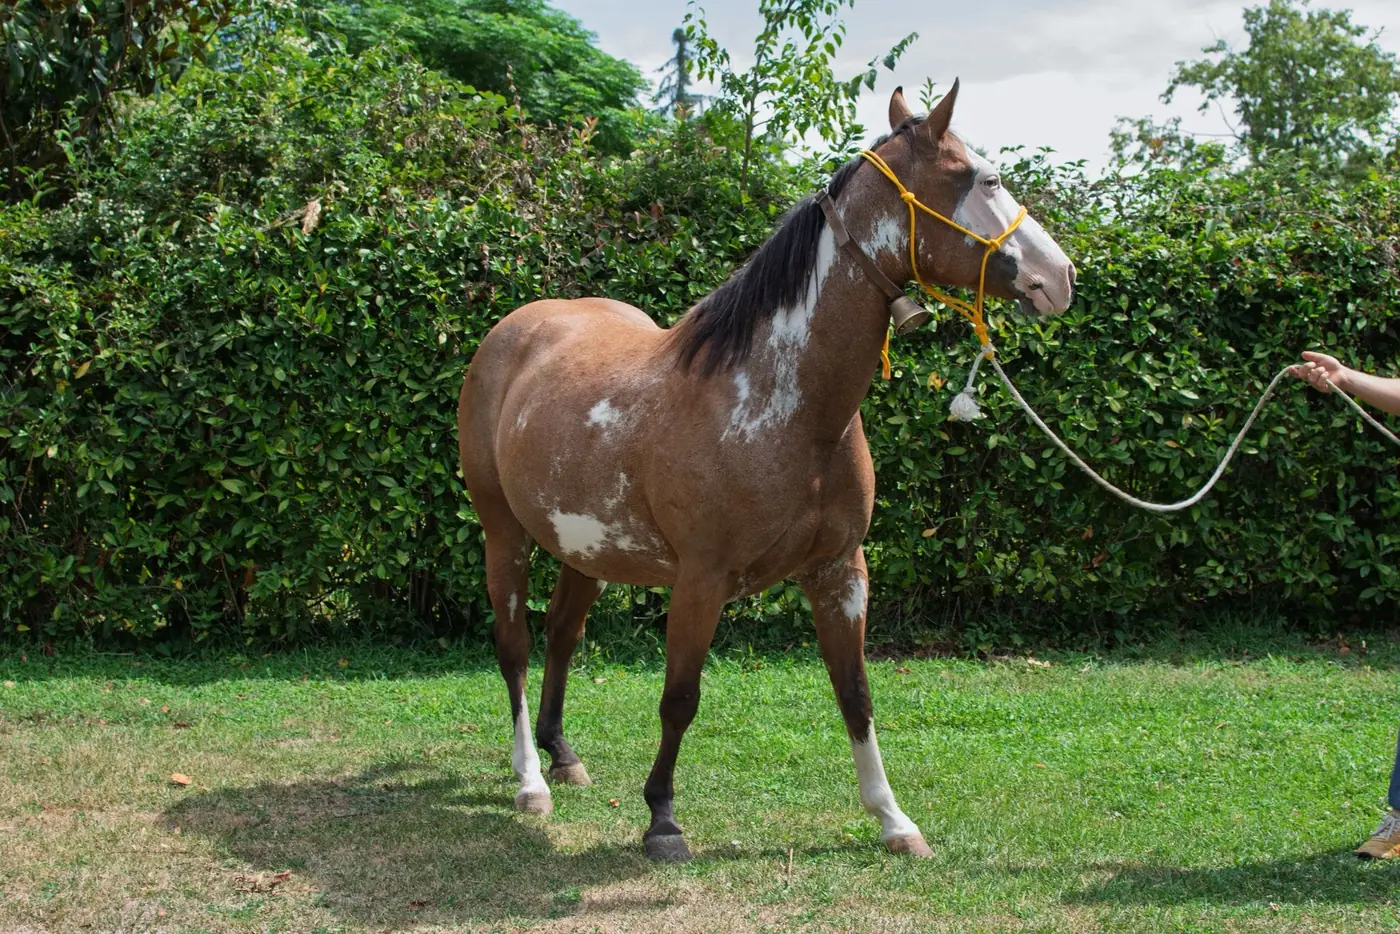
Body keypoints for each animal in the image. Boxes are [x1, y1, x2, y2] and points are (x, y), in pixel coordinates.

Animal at [456, 81, 1076, 861]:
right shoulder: (701, 580)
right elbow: (680, 697)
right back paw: (529, 779)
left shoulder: (840, 572)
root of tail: (513, 331)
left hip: (585, 549)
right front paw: (662, 820)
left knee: (562, 636)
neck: (781, 402)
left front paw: (893, 820)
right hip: (503, 534)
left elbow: (856, 694)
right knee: (514, 648)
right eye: (983, 179)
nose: (1061, 277)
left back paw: (562, 756)